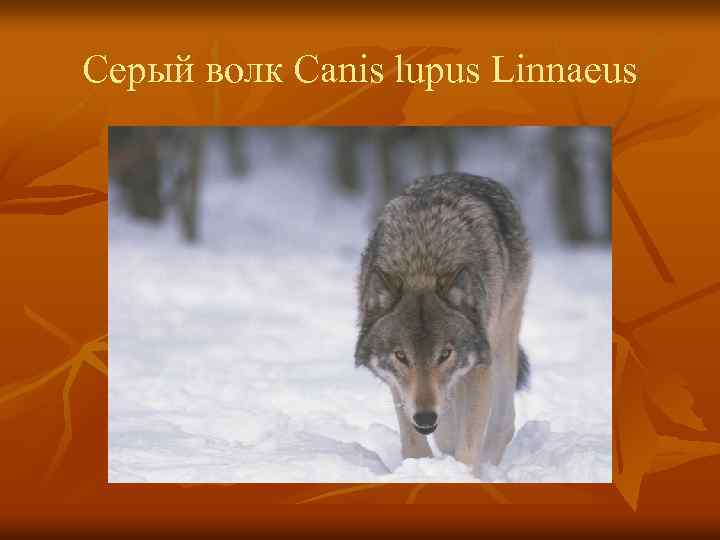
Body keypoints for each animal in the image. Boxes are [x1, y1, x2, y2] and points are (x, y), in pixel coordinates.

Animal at [355, 173, 531, 470]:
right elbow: (414, 444)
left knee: (503, 421)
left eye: (445, 354)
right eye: (401, 356)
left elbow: (467, 445)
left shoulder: (479, 367)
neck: (422, 264)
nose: (426, 418)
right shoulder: (399, 387)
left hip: (502, 340)